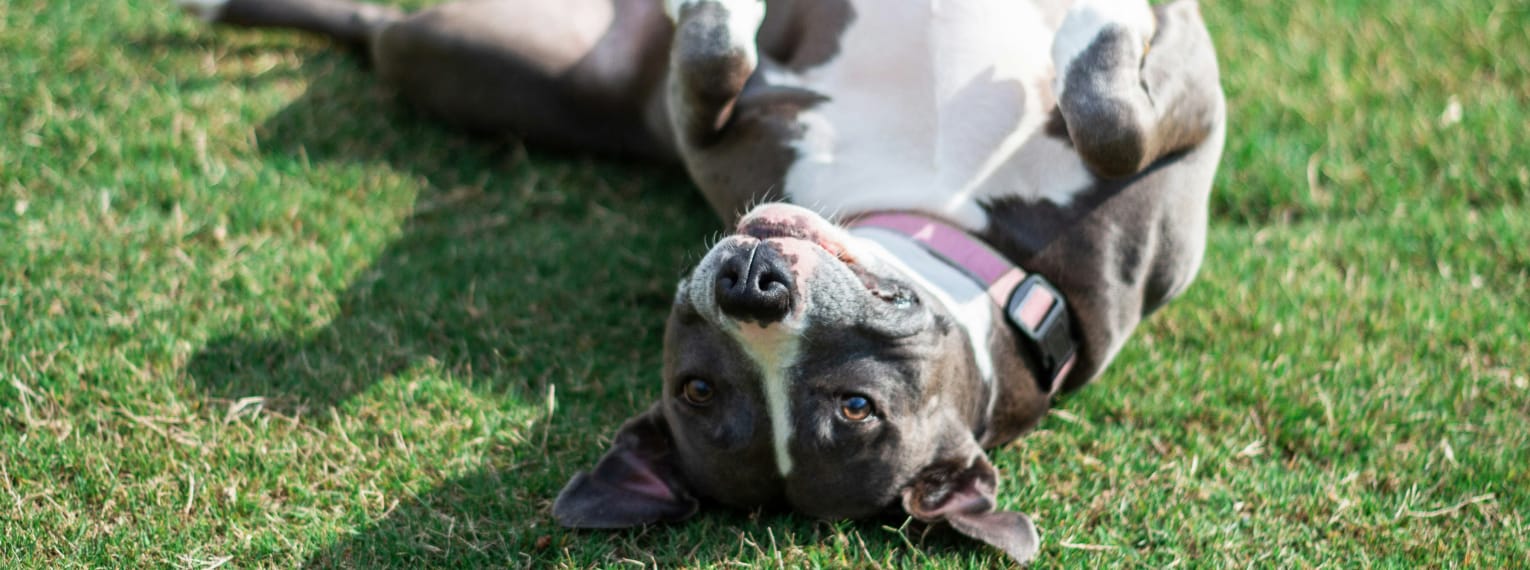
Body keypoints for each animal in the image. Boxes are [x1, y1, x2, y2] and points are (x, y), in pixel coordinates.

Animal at [182, 0, 1230, 559]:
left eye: (855, 409)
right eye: (698, 390)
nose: (752, 286)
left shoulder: (1180, 149)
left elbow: (1113, 122)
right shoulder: (716, 125)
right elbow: (716, 62)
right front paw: (714, 6)